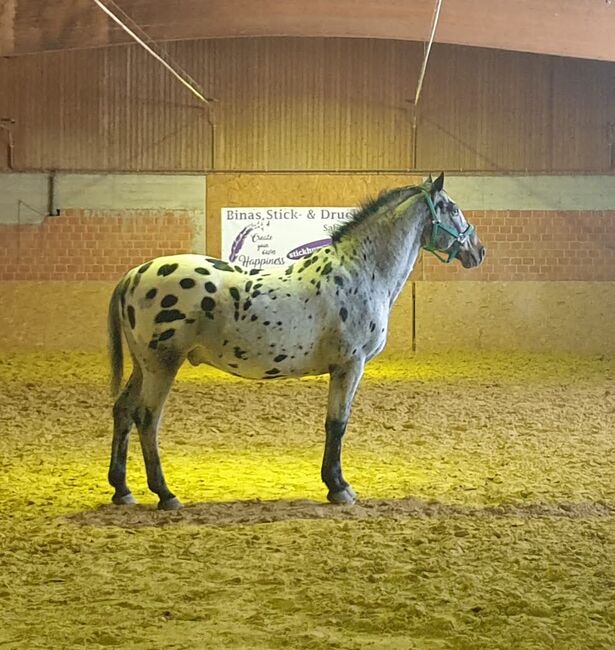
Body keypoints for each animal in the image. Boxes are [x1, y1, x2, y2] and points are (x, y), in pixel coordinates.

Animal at [109, 175, 486, 508]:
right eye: (452, 208)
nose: (478, 250)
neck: (360, 271)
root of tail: (132, 276)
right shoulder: (350, 365)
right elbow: (337, 424)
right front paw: (339, 488)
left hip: (144, 366)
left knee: (123, 410)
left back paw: (122, 490)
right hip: (162, 365)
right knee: (147, 418)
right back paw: (165, 494)